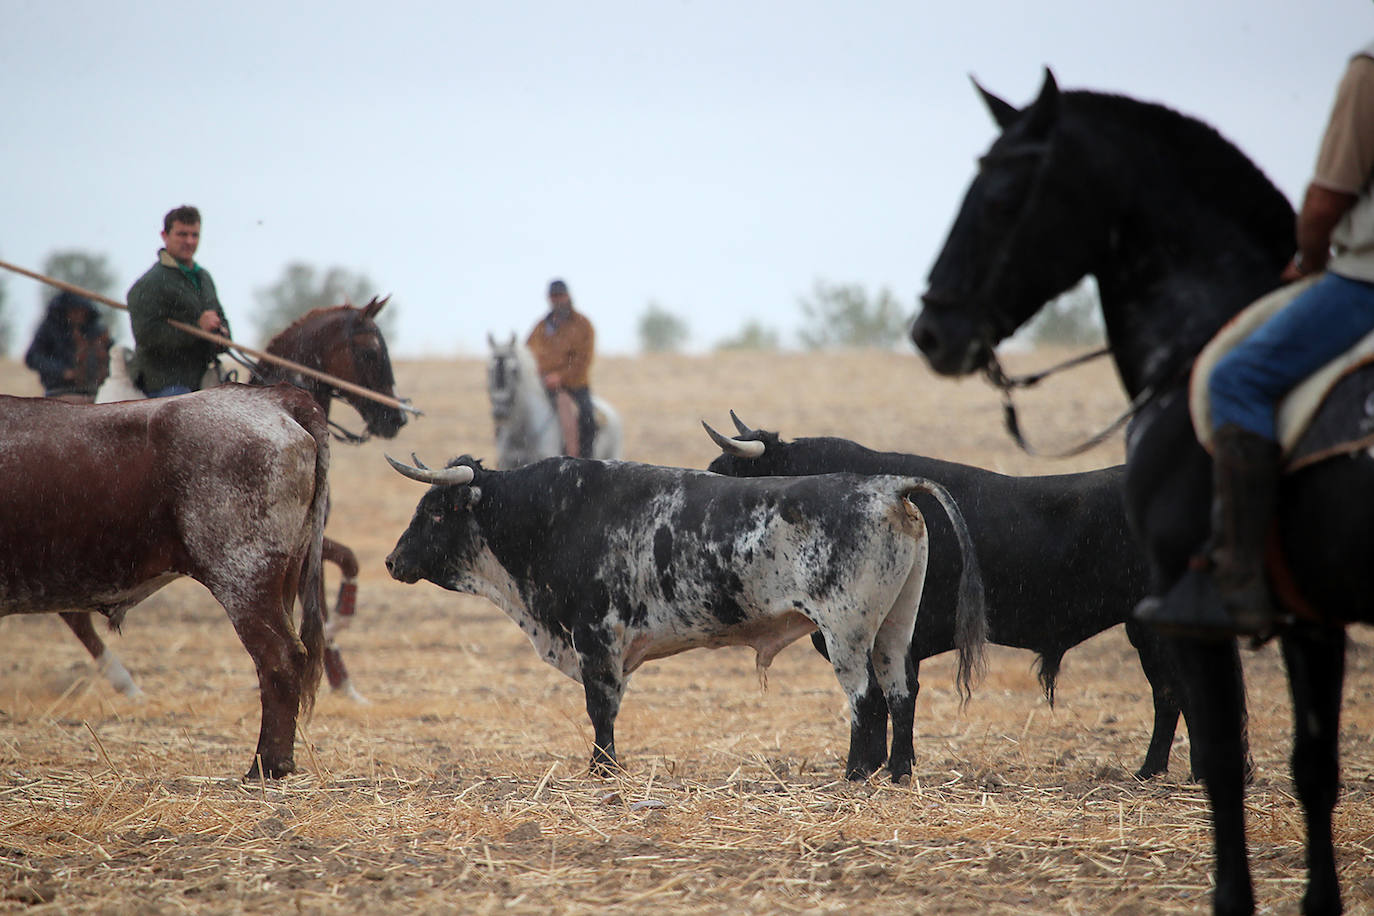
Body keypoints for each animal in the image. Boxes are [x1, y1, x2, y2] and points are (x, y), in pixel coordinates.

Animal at [61, 298, 403, 708]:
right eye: (371, 351)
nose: (396, 417)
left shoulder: (305, 540)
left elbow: (343, 566)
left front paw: (343, 678)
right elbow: (326, 590)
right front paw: (339, 644)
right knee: (75, 615)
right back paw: (124, 681)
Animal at [387, 455, 989, 780]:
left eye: (435, 511)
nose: (393, 562)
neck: (553, 514)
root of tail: (887, 484)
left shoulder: (596, 637)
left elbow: (600, 708)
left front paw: (602, 771)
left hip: (845, 631)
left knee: (866, 700)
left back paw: (855, 775)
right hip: (893, 627)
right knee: (901, 693)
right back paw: (898, 772)